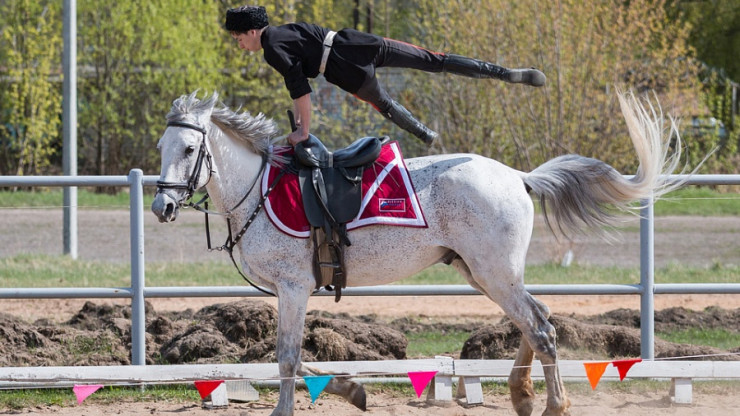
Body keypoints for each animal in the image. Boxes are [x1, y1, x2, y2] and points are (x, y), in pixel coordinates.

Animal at [150, 89, 684, 414]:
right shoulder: (290, 292)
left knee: (542, 328)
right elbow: (295, 361)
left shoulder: (294, 288)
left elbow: (286, 358)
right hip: (483, 274)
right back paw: (522, 395)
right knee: (537, 319)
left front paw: (296, 406)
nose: (161, 206)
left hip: (493, 274)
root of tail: (517, 176)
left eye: (188, 150)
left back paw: (554, 404)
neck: (261, 189)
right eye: (161, 147)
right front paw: (352, 389)